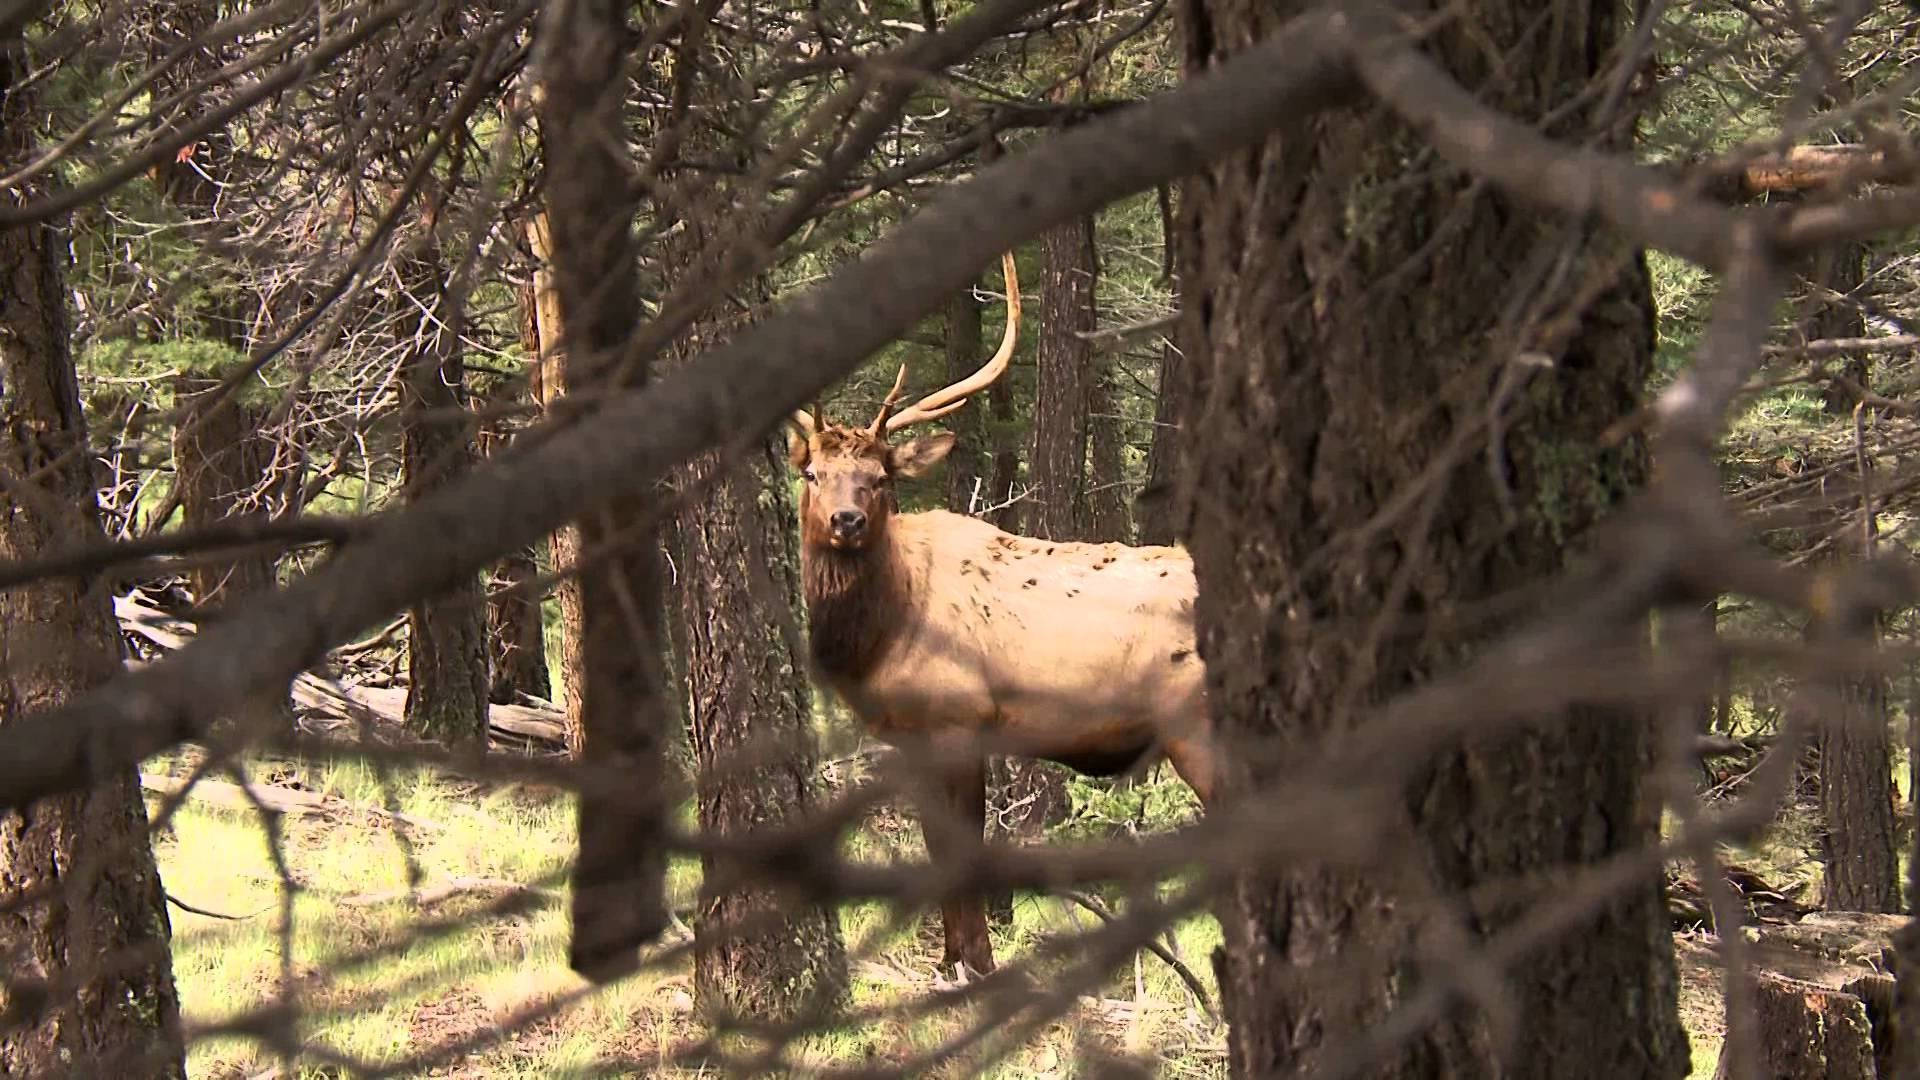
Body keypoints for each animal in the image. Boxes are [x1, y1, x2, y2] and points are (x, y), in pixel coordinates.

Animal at [785, 251, 1215, 979]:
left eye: (881, 477)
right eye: (812, 473)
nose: (847, 520)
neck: (881, 636)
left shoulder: (960, 718)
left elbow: (964, 853)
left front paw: (977, 966)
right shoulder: (908, 739)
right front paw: (947, 962)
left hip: (1199, 725)